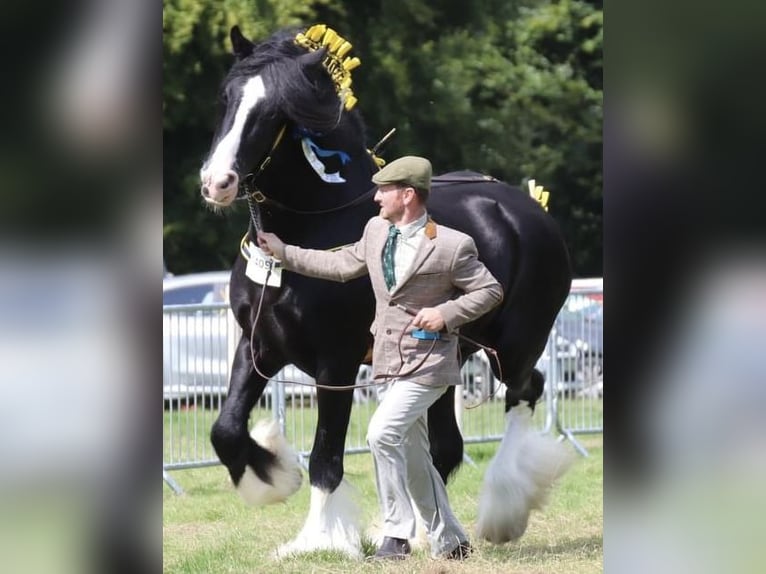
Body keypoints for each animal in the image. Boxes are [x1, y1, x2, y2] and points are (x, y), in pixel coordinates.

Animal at [199, 24, 574, 558]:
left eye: (276, 114)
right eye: (227, 97)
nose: (217, 182)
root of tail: (528, 208)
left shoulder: (335, 363)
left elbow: (327, 455)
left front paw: (322, 538)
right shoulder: (259, 347)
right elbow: (226, 429)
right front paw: (273, 477)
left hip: (515, 343)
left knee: (526, 391)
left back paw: (503, 510)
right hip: (449, 358)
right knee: (445, 445)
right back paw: (422, 534)